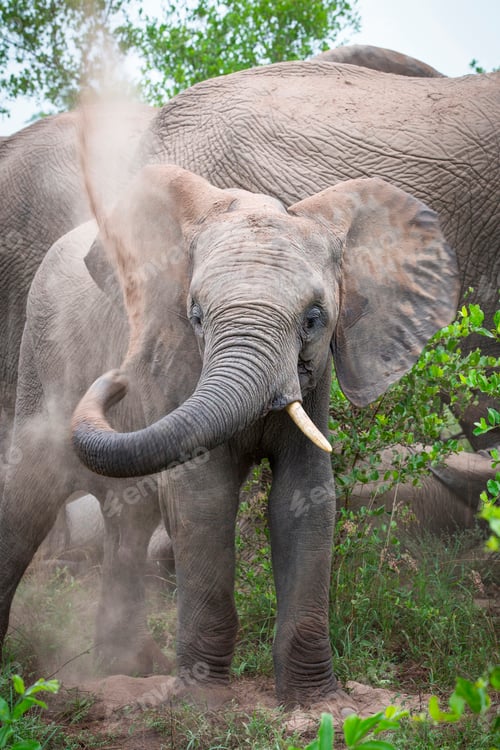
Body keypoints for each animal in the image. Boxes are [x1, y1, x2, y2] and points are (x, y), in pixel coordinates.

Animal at [1, 160, 458, 706]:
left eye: (314, 319)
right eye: (196, 315)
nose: (118, 379)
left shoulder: (319, 375)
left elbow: (305, 497)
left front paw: (316, 702)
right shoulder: (176, 358)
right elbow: (203, 494)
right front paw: (202, 702)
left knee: (130, 518)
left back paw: (129, 669)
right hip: (42, 354)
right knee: (28, 503)